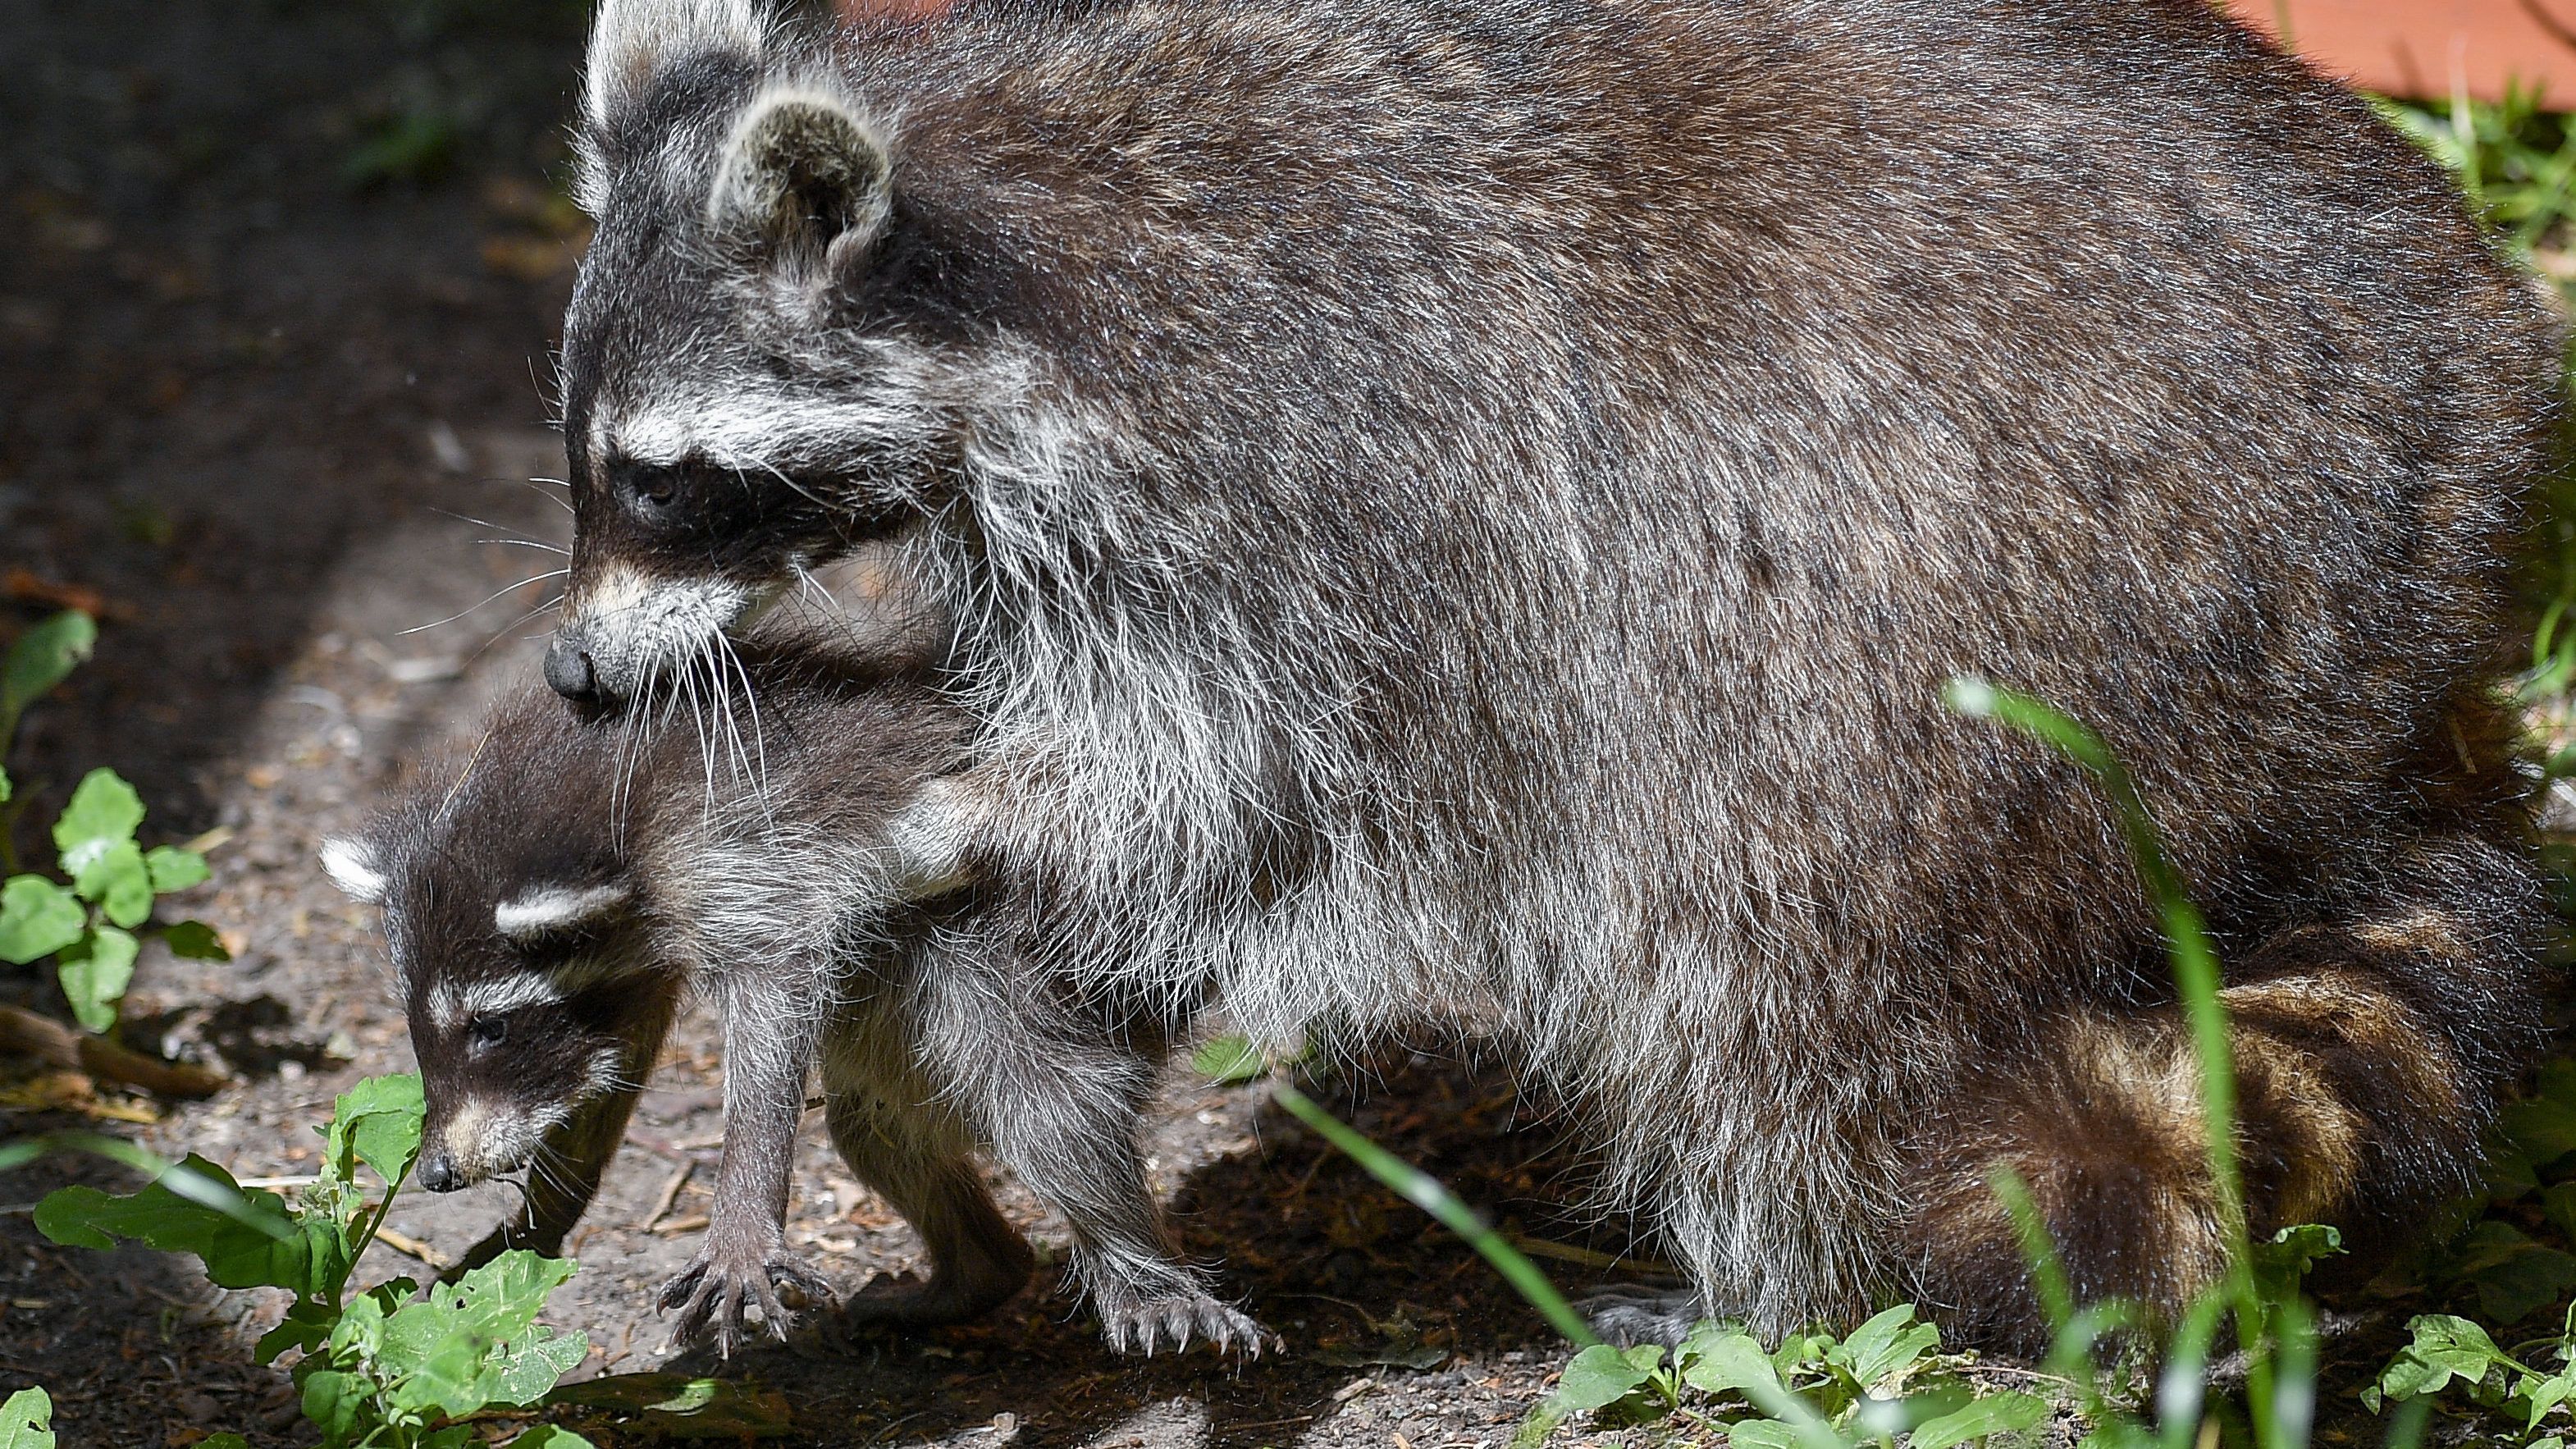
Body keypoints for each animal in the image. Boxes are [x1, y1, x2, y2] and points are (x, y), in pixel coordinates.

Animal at [319, 649, 1246, 1351]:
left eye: (491, 1027)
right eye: (420, 1031)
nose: (437, 1172)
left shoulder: (738, 844)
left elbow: (775, 999)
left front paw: (741, 1206)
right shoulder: (640, 949)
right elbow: (613, 1060)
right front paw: (543, 1213)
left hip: (1067, 962)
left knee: (1048, 1112)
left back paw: (1140, 1270)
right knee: (874, 1131)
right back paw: (980, 1270)